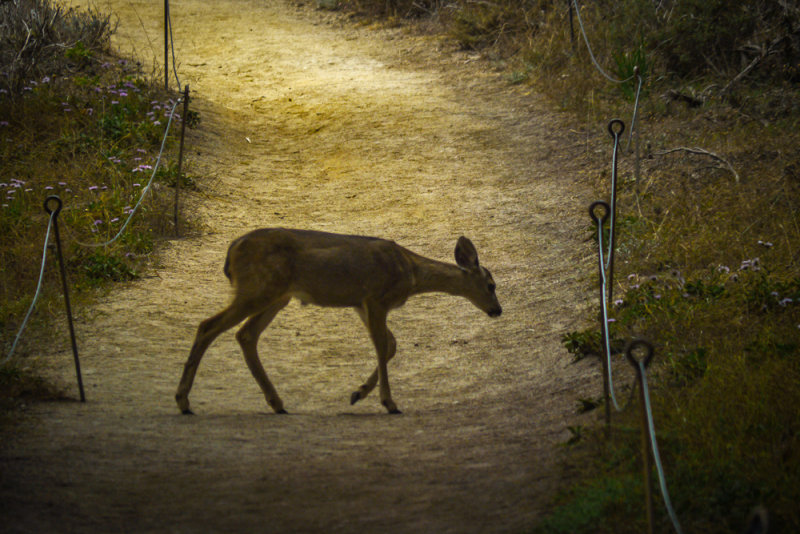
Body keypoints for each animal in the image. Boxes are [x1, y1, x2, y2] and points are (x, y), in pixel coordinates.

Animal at [175, 228, 500, 416]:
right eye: (491, 285)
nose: (497, 310)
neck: (411, 273)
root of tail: (231, 251)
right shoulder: (376, 297)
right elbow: (382, 346)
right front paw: (389, 402)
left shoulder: (360, 303)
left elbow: (391, 345)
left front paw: (357, 393)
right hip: (259, 288)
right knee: (208, 326)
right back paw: (183, 401)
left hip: (277, 296)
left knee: (245, 335)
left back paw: (277, 403)